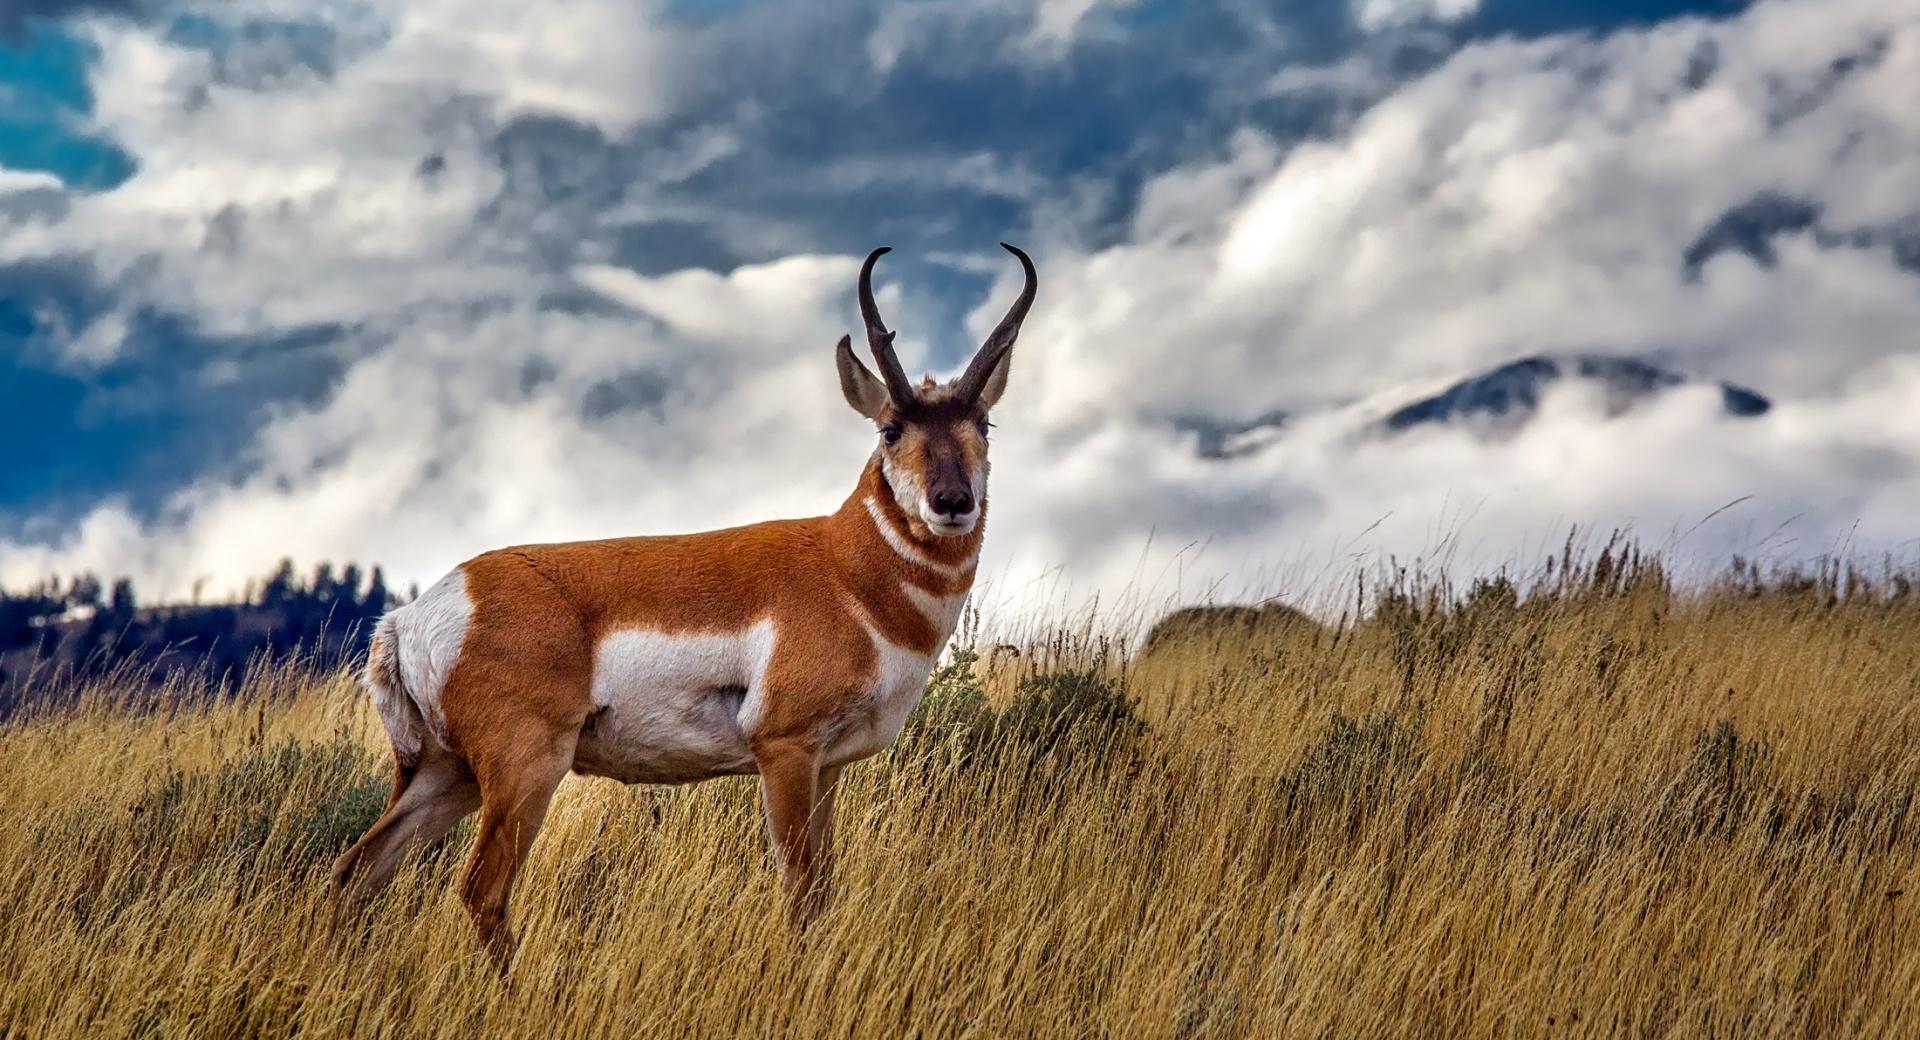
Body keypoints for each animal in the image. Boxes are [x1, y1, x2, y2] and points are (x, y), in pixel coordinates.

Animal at [337, 242, 1044, 963]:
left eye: (983, 422)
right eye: (892, 428)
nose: (952, 502)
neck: (844, 569)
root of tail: (413, 617)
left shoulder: (830, 766)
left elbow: (824, 889)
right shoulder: (785, 751)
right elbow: (799, 890)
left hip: (446, 774)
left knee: (360, 868)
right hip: (525, 767)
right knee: (481, 888)